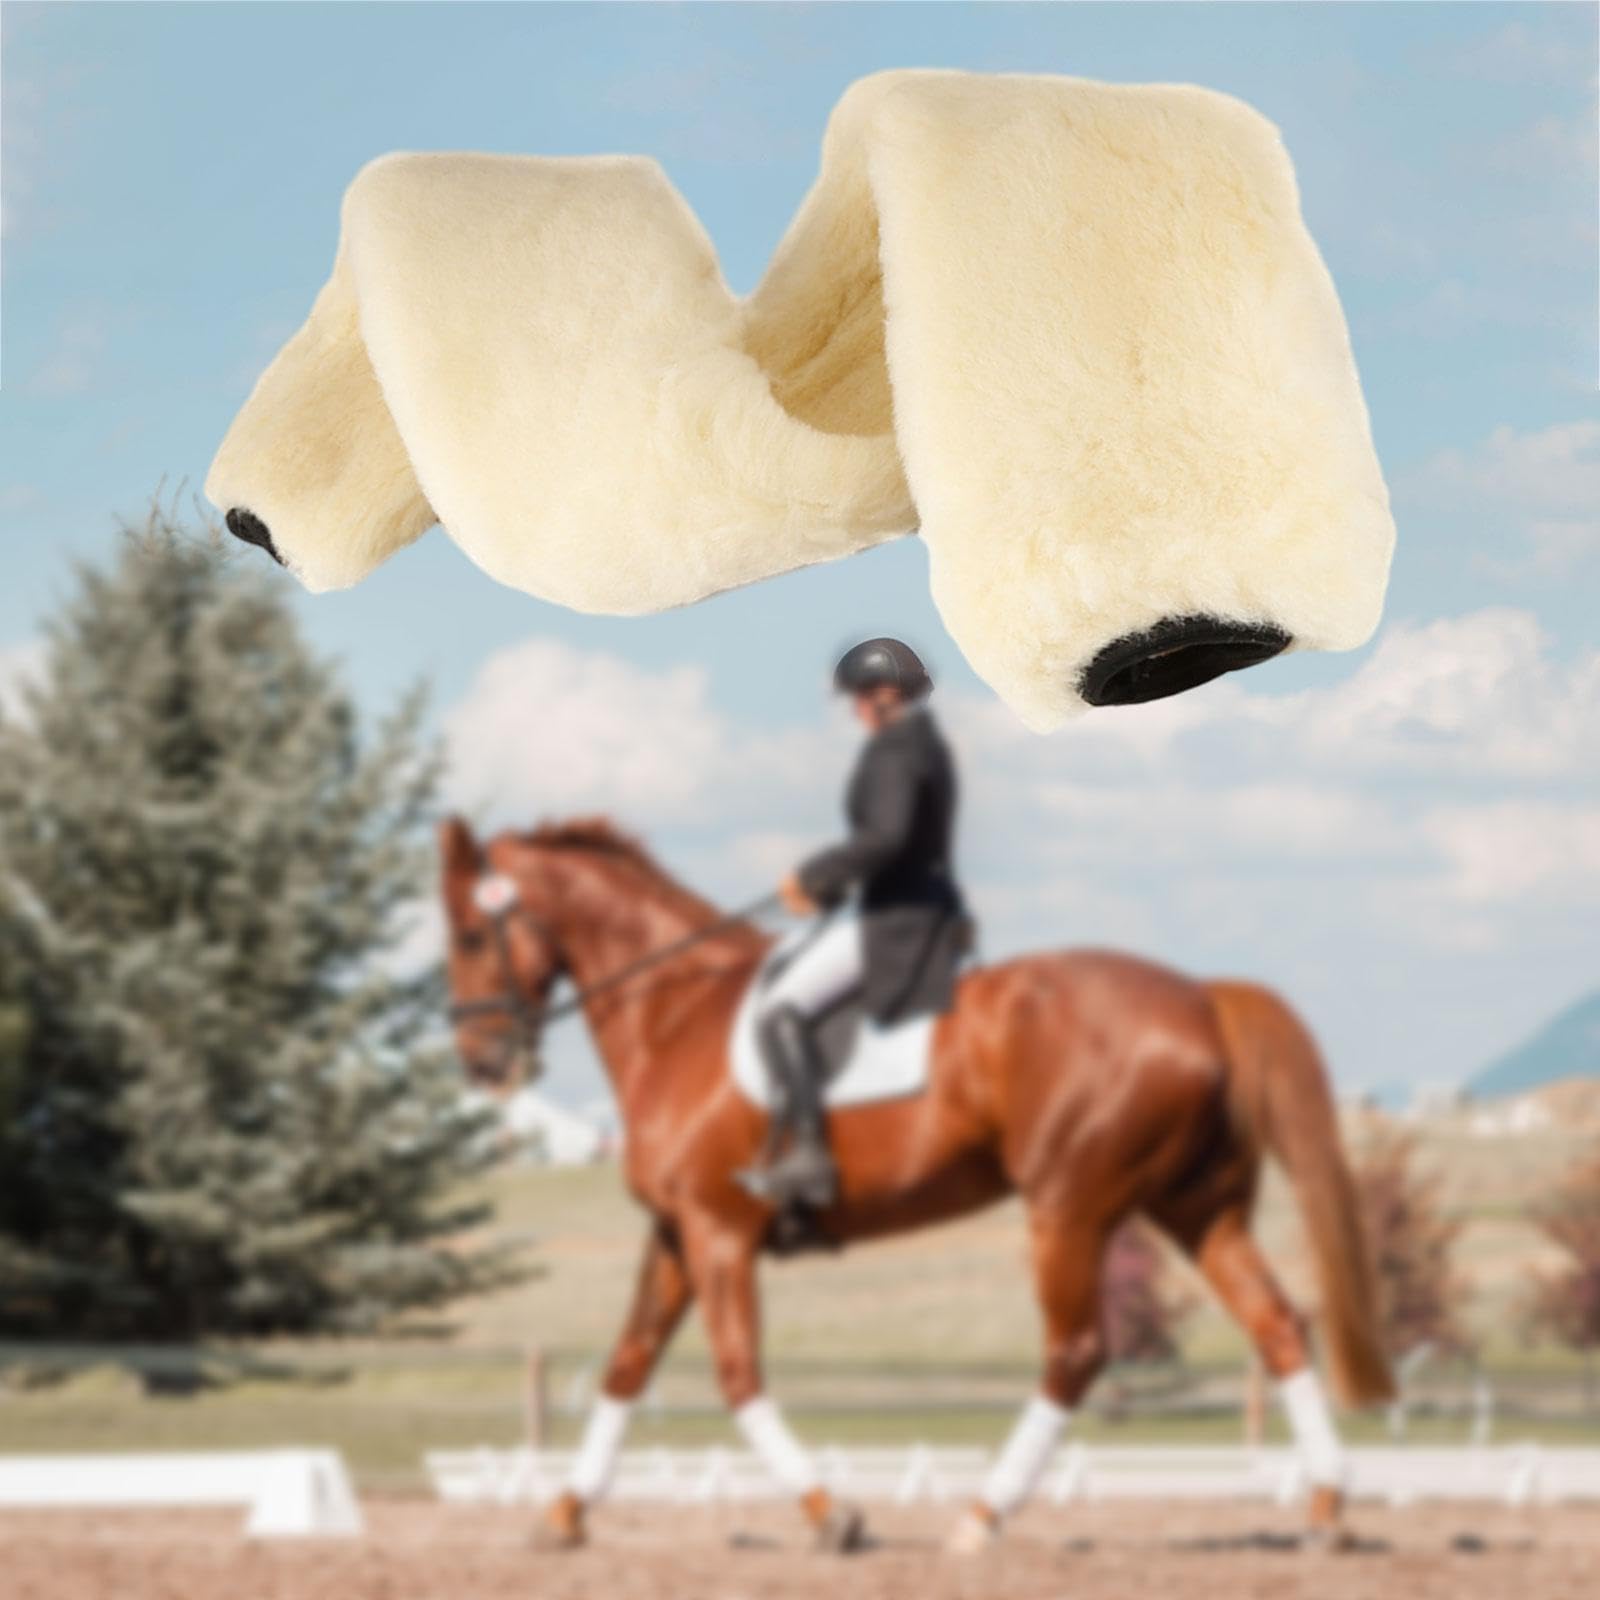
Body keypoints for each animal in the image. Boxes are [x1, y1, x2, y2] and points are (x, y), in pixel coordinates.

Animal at [439, 814, 1392, 1554]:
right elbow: (628, 1364)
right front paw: (564, 1514)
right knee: (1278, 1325)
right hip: (1198, 1209)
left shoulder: (719, 1230)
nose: (482, 1064)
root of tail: (1200, 998)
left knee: (1076, 1352)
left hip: (1068, 1209)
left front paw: (830, 1514)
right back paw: (1326, 1509)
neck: (673, 1013)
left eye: (470, 936)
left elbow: (738, 1373)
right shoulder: (677, 1231)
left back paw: (982, 1516)